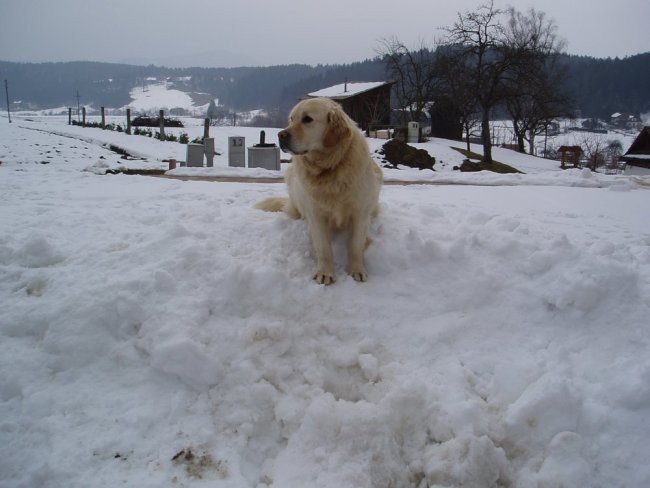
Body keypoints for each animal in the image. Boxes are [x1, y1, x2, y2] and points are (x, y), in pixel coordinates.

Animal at [254, 97, 384, 284]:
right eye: (291, 119)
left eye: (307, 119)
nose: (280, 135)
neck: (330, 168)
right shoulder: (316, 214)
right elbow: (323, 247)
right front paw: (325, 272)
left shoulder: (360, 212)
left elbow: (355, 245)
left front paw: (356, 269)